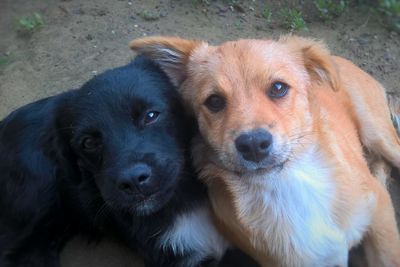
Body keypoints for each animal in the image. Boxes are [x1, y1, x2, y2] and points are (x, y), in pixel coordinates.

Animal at [131, 36, 400, 267]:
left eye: (278, 88)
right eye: (214, 101)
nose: (252, 145)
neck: (290, 184)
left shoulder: (381, 216)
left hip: (378, 134)